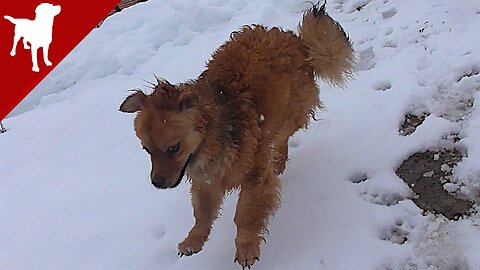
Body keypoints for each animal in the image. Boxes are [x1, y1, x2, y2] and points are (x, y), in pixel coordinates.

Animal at [119, 3, 352, 268]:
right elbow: (202, 214)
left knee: (281, 137)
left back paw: (278, 159)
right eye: (147, 150)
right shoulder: (206, 182)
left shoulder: (254, 177)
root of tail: (298, 43)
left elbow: (245, 215)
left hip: (290, 114)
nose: (157, 183)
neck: (213, 139)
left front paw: (246, 246)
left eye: (173, 148)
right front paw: (194, 239)